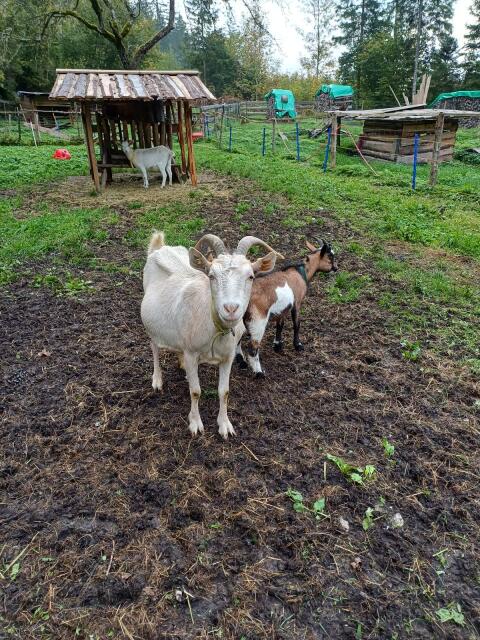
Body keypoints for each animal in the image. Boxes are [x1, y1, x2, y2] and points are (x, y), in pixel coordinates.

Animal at [141, 232, 280, 438]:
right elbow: (195, 391)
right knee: (154, 347)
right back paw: (157, 380)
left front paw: (225, 425)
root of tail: (159, 247)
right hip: (151, 325)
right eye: (212, 276)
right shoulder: (192, 354)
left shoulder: (228, 357)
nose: (231, 308)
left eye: (251, 276)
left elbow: (224, 391)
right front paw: (195, 424)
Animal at [235, 240, 337, 377]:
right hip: (258, 321)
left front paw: (278, 345)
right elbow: (296, 323)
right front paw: (298, 345)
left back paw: (241, 361)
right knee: (252, 348)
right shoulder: (297, 302)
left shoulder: (282, 309)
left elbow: (280, 324)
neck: (301, 273)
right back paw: (259, 373)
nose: (335, 268)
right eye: (330, 256)